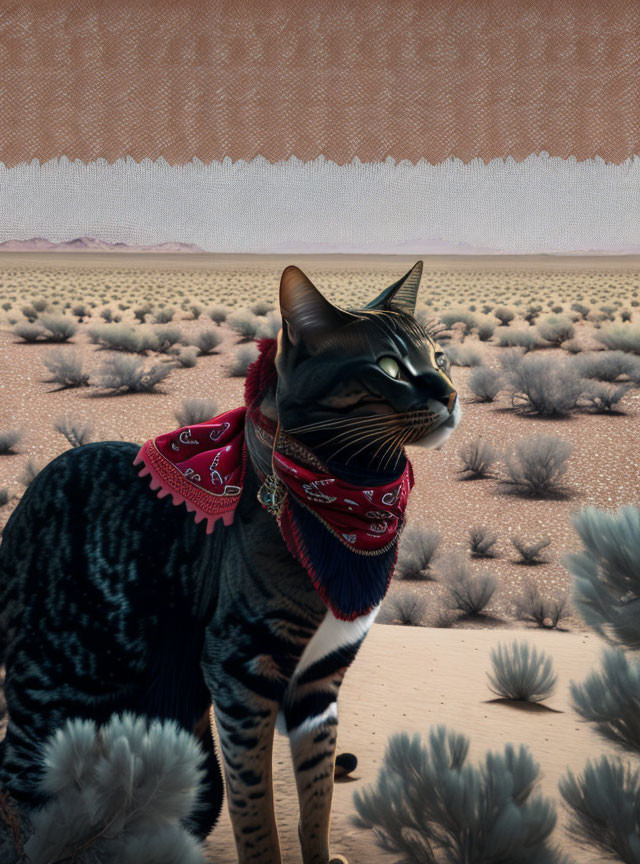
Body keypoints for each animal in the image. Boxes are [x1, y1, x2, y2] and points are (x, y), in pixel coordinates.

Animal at [0, 260, 460, 860]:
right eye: (389, 367)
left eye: (440, 357)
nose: (451, 393)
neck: (350, 502)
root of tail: (22, 507)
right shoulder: (240, 670)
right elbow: (256, 809)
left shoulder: (320, 682)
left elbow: (317, 797)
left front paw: (322, 853)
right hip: (52, 694)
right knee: (19, 794)